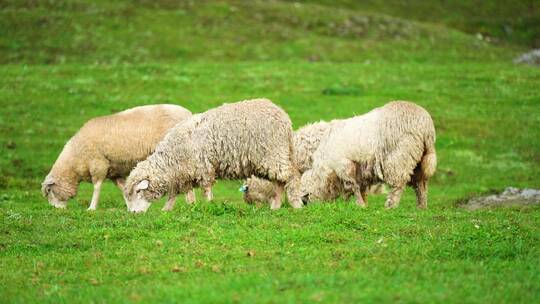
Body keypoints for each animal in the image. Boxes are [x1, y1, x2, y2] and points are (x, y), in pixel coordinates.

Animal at [42, 103, 194, 210]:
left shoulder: (98, 164)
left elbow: (97, 187)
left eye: (49, 191)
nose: (55, 210)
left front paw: (92, 208)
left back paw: (188, 203)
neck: (75, 159)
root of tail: (188, 114)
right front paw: (129, 205)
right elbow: (123, 189)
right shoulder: (114, 172)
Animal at [124, 98, 306, 213]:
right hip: (271, 157)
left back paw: (296, 204)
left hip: (274, 153)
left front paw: (209, 205)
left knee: (292, 177)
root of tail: (283, 117)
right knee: (279, 181)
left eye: (138, 192)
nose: (133, 214)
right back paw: (276, 206)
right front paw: (170, 209)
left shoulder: (202, 167)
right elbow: (176, 193)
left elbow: (206, 189)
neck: (172, 157)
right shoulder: (183, 174)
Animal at [298, 101, 436, 208]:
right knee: (421, 184)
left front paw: (359, 204)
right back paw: (421, 207)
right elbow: (360, 188)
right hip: (420, 160)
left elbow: (353, 186)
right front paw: (362, 204)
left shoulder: (344, 165)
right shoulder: (360, 170)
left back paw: (390, 205)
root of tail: (426, 127)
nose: (305, 202)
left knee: (399, 184)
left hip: (399, 157)